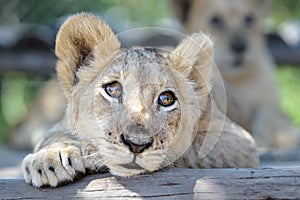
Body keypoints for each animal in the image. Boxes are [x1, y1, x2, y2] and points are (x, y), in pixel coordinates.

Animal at [171, 0, 300, 148]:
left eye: (249, 20)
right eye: (216, 21)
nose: (240, 47)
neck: (236, 79)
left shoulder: (271, 107)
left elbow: (267, 115)